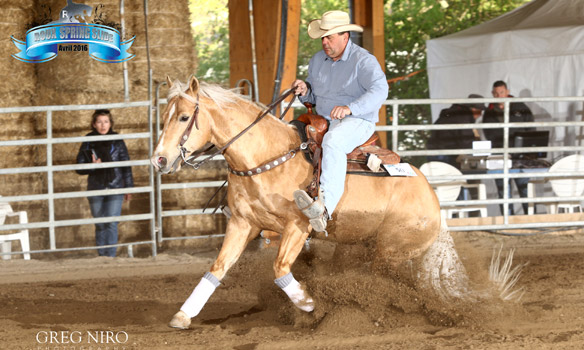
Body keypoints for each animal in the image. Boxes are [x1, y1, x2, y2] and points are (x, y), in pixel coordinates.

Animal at [152, 76, 520, 328]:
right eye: (164, 115)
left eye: (183, 117)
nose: (159, 160)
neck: (267, 157)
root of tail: (431, 199)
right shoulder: (243, 224)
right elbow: (216, 269)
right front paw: (183, 315)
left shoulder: (297, 228)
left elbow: (280, 268)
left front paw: (307, 303)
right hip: (355, 245)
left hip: (390, 252)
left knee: (398, 283)